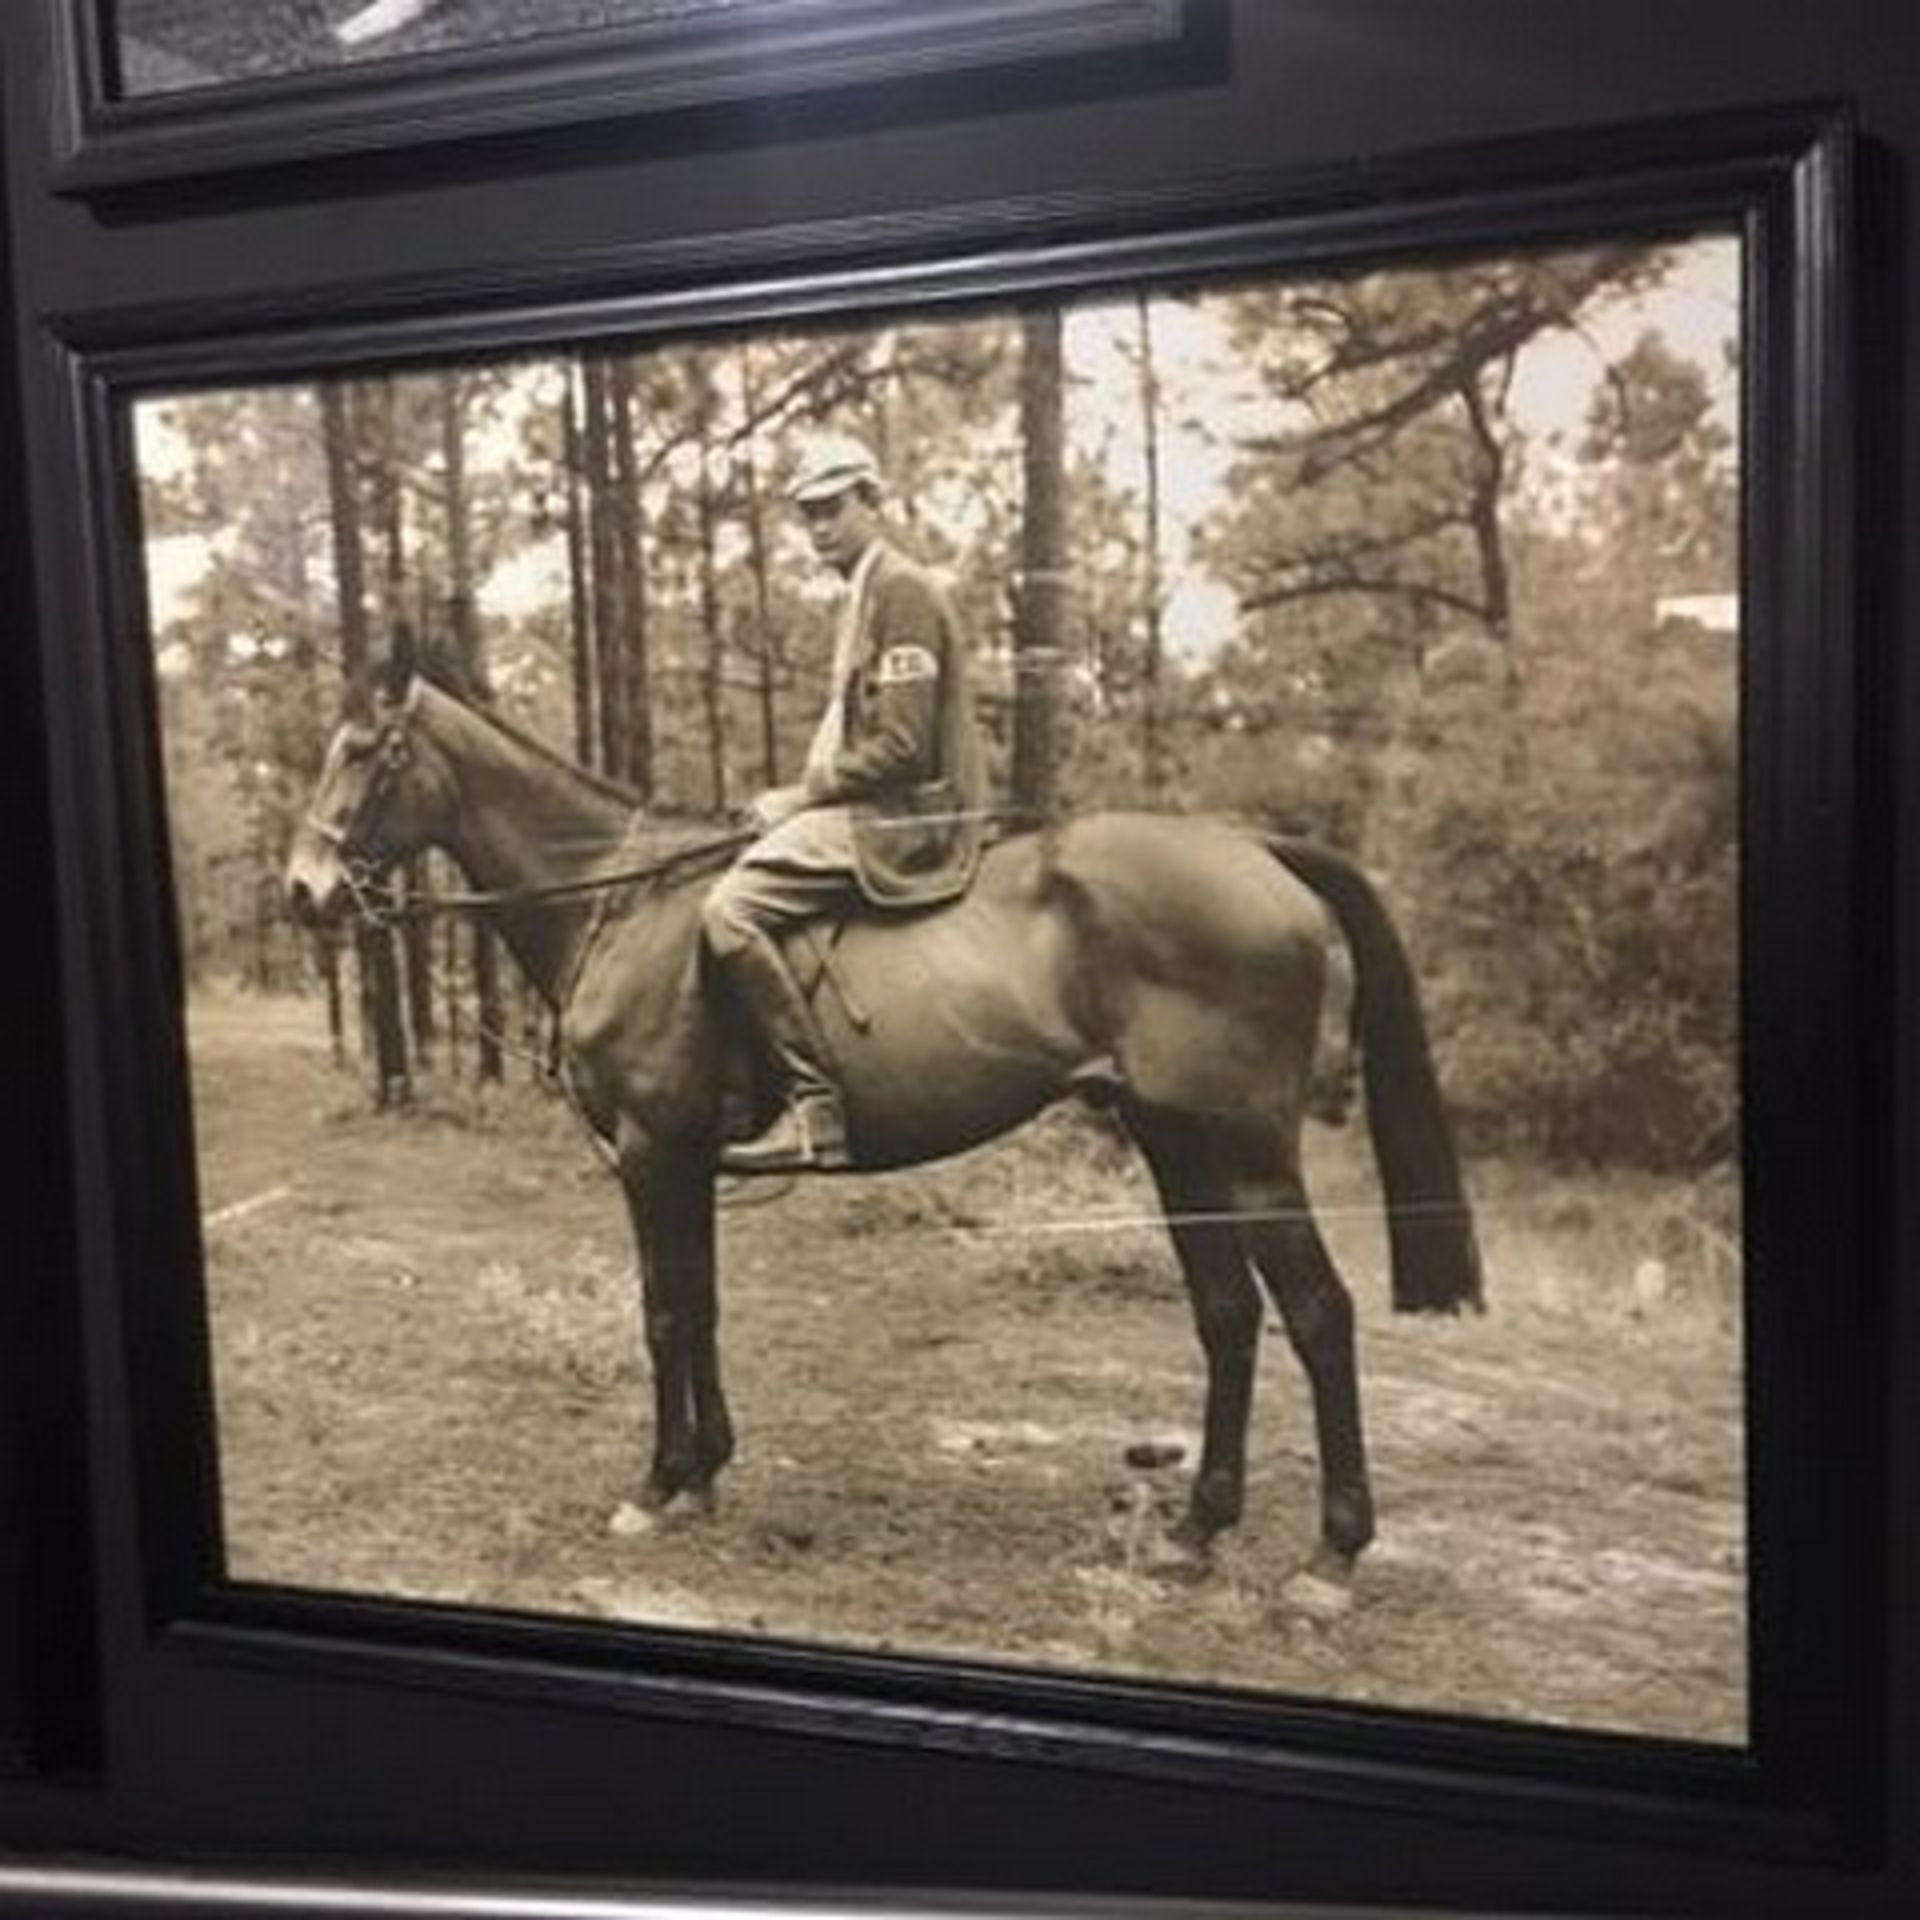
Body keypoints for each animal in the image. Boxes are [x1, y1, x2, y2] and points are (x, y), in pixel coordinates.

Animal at [288, 645, 1482, 1605]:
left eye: (361, 751)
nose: (304, 892)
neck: (619, 900)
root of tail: (1261, 852)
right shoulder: (688, 1163)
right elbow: (701, 1308)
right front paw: (706, 1473)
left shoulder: (650, 1153)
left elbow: (665, 1314)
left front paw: (658, 1484)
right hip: (1176, 1144)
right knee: (1229, 1316)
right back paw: (1196, 1528)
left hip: (1247, 1155)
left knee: (1319, 1316)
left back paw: (1332, 1557)